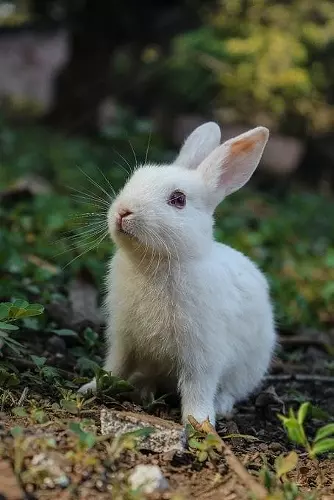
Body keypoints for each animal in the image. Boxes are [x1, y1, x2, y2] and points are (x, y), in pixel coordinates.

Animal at [79, 121, 276, 426]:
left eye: (178, 199)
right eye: (133, 179)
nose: (123, 212)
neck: (154, 263)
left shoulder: (202, 354)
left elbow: (198, 388)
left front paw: (200, 423)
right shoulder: (123, 338)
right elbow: (114, 366)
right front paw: (90, 388)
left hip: (249, 367)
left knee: (231, 390)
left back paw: (221, 406)